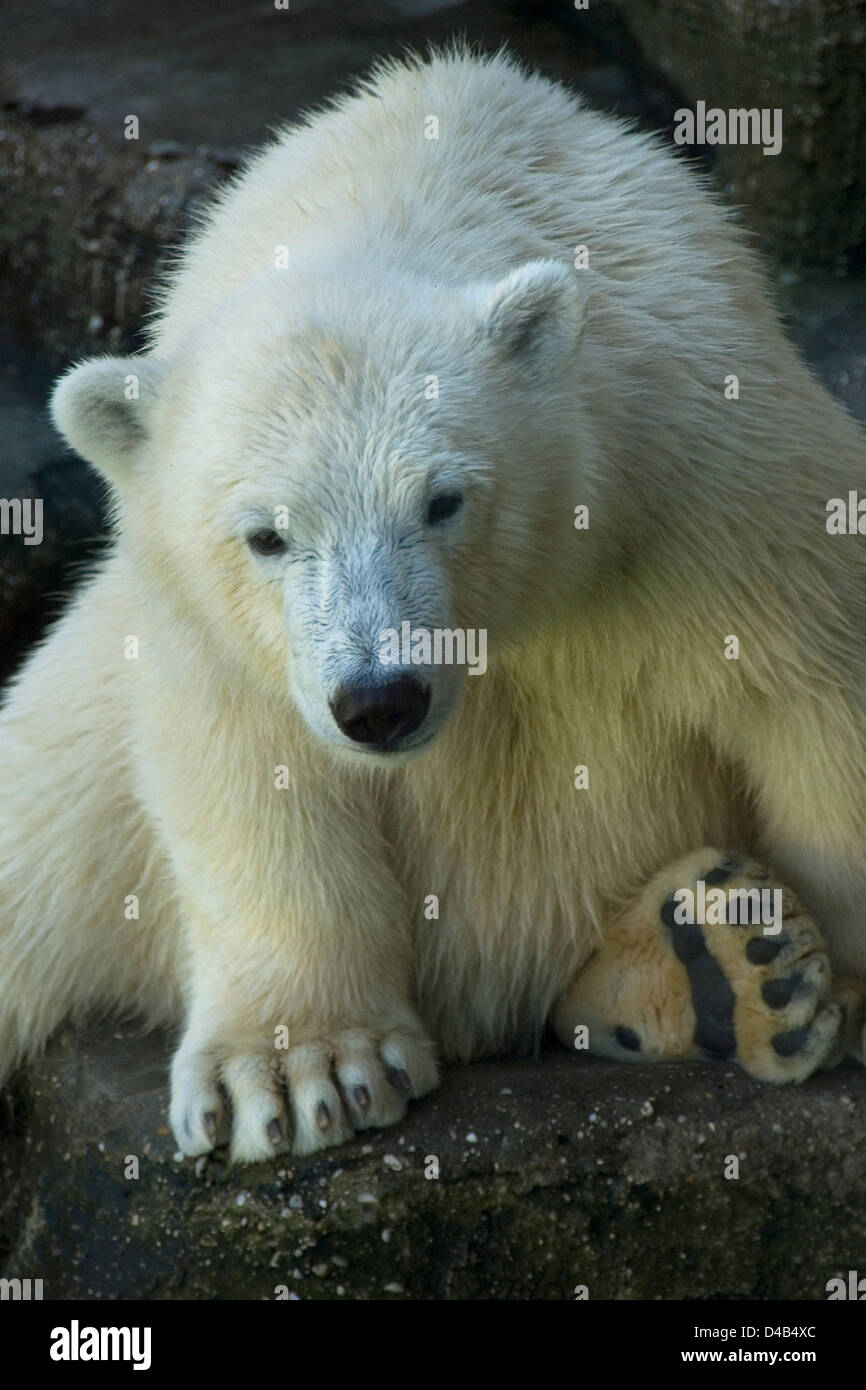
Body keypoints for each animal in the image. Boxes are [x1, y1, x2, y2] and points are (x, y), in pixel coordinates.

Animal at [2, 47, 866, 1164]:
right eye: (267, 534)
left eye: (442, 499)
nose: (382, 701)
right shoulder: (196, 609)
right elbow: (246, 765)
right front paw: (298, 1070)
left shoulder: (709, 475)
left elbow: (812, 693)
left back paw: (718, 965)